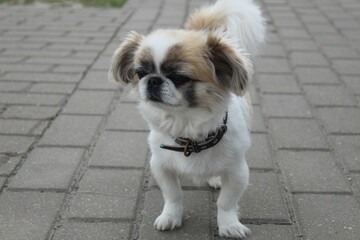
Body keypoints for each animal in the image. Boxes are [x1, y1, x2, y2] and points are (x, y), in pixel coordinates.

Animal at [109, 0, 264, 238]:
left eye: (179, 78)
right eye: (141, 73)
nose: (153, 80)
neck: (188, 130)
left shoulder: (238, 171)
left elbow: (226, 202)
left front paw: (229, 225)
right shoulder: (161, 165)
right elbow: (173, 195)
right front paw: (170, 217)